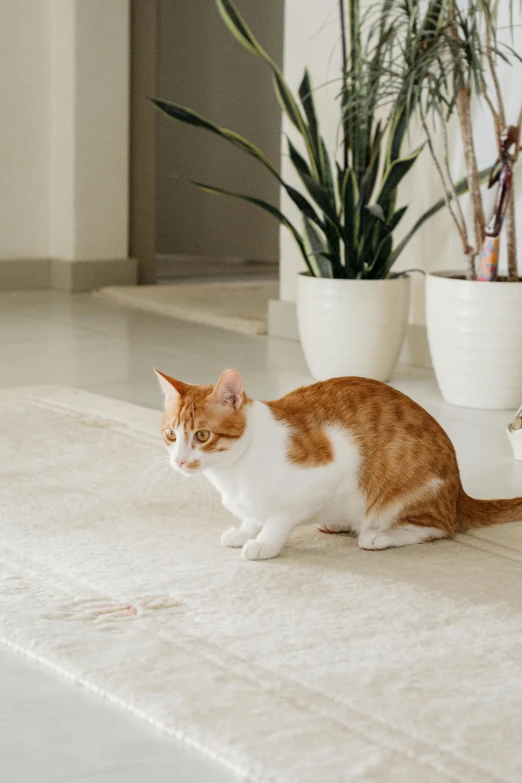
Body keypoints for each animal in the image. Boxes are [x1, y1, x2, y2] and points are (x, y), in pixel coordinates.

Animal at [153, 370, 520, 560]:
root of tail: (459, 492)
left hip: (400, 495)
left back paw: (380, 536)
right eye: (171, 434)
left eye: (202, 435)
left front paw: (264, 542)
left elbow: (279, 517)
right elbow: (254, 514)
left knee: (440, 527)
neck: (233, 472)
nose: (180, 460)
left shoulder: (328, 472)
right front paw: (246, 530)